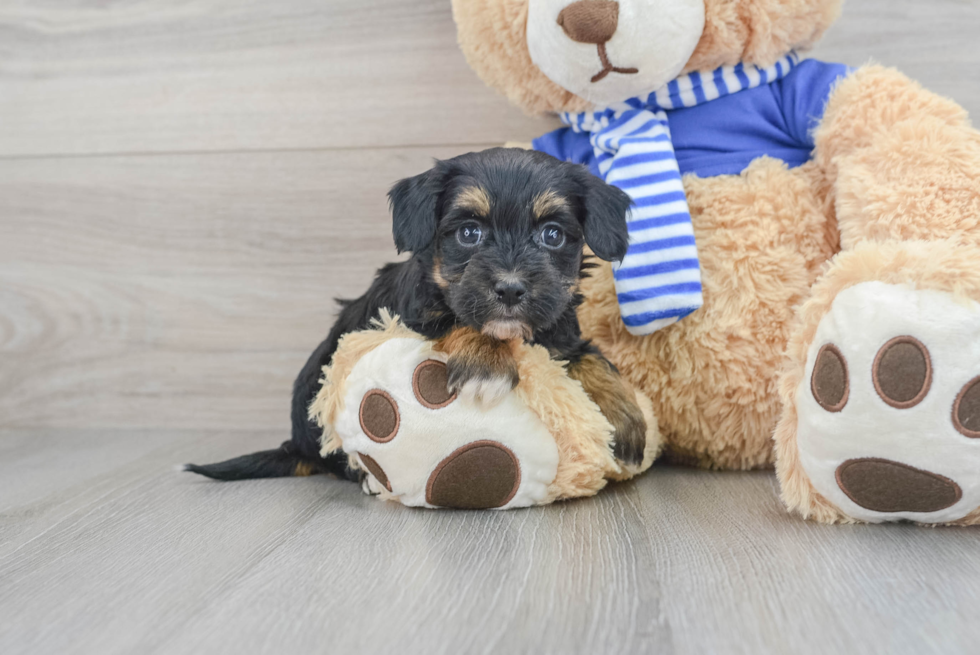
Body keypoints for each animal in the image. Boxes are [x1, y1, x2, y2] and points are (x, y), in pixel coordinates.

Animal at [189, 150, 652, 486]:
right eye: (469, 233)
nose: (510, 289)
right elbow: (460, 321)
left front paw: (627, 421)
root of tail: (297, 447)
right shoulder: (416, 316)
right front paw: (487, 362)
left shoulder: (560, 334)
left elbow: (594, 358)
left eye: (552, 235)